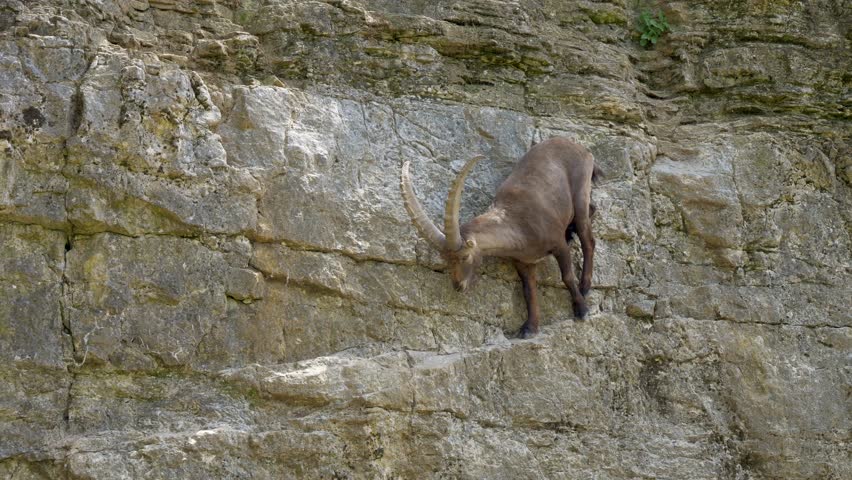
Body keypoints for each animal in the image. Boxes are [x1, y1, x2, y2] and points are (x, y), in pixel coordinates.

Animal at [400, 137, 601, 338]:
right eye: (445, 259)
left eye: (464, 257)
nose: (458, 286)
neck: (518, 224)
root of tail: (582, 149)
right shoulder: (523, 262)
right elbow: (529, 291)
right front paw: (529, 328)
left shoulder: (558, 245)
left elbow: (567, 276)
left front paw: (582, 310)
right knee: (592, 209)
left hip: (580, 191)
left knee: (588, 239)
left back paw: (585, 286)